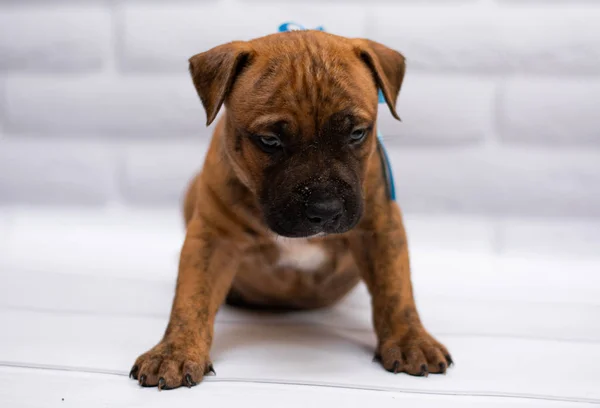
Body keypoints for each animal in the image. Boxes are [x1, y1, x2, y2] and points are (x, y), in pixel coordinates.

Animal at [129, 30, 452, 390]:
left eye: (357, 134)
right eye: (269, 141)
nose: (325, 209)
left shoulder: (380, 228)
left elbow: (396, 290)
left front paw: (411, 341)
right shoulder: (212, 237)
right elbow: (191, 297)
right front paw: (174, 352)